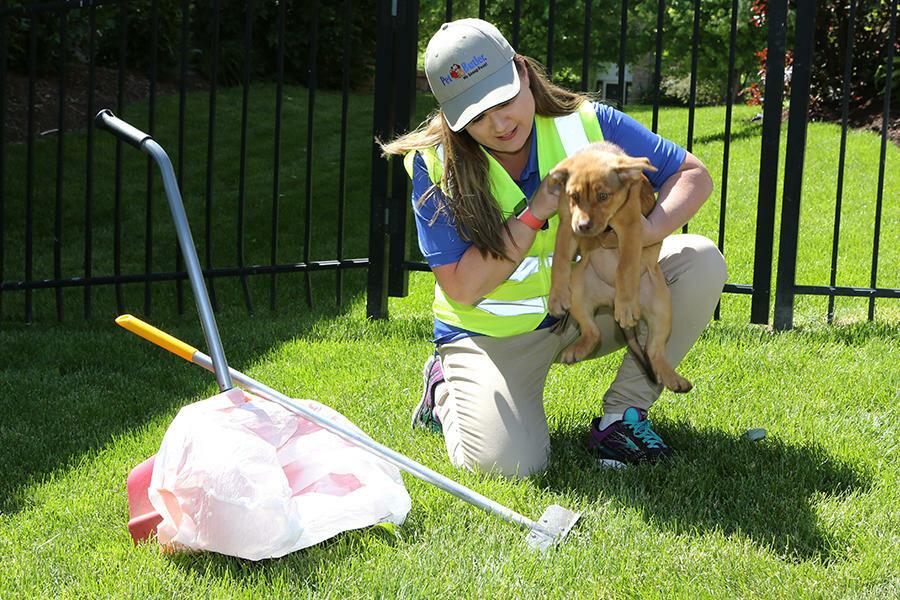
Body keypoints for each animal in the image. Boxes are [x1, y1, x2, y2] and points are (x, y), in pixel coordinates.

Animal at [548, 141, 688, 394]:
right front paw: (556, 297)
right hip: (579, 291)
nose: (583, 226)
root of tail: (609, 299)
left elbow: (625, 268)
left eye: (603, 196)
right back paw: (577, 350)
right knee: (593, 332)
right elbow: (560, 262)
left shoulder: (631, 228)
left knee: (654, 349)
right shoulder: (566, 226)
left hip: (663, 308)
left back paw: (673, 379)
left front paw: (626, 306)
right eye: (574, 196)